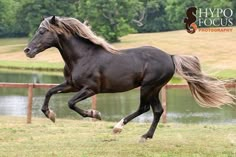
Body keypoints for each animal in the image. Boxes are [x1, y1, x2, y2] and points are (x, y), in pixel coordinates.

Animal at [23, 16, 234, 141]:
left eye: (42, 31)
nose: (27, 50)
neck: (83, 56)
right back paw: (145, 136)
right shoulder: (71, 85)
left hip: (148, 87)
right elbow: (50, 92)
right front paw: (50, 114)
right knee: (157, 110)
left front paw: (95, 114)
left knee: (145, 108)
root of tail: (170, 56)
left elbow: (71, 104)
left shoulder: (89, 89)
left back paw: (118, 127)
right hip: (154, 89)